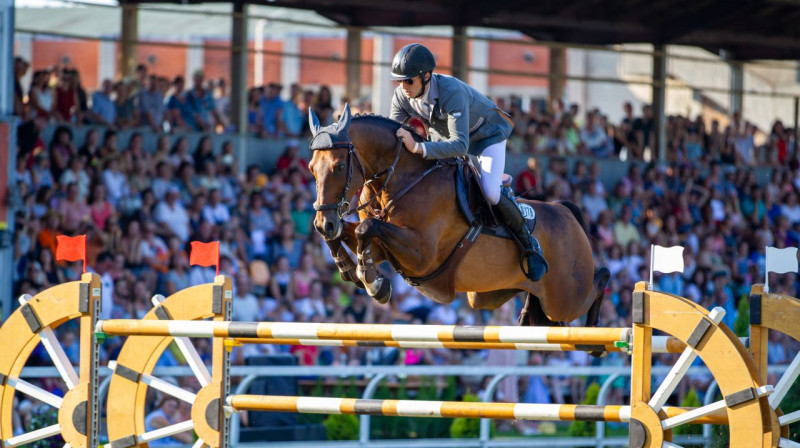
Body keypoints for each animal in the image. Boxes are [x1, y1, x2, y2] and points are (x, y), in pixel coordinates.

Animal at [306, 105, 608, 326]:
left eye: (339, 166)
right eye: (311, 168)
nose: (325, 222)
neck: (404, 179)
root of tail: (565, 211)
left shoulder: (421, 254)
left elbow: (365, 227)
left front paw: (374, 284)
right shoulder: (383, 248)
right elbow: (354, 233)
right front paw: (350, 270)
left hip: (566, 297)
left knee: (598, 282)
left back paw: (594, 332)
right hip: (487, 296)